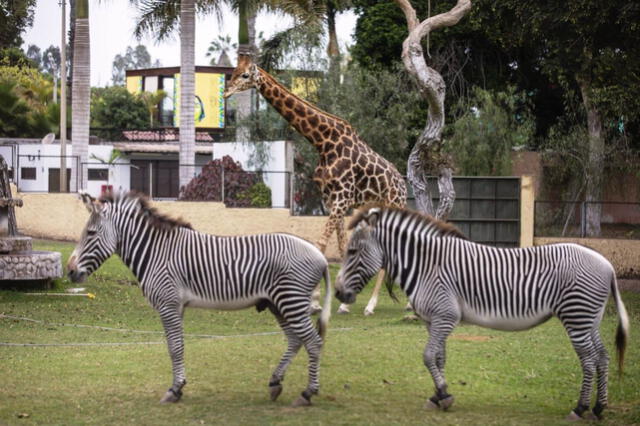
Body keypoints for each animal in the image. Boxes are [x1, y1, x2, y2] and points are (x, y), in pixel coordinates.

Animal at [67, 192, 332, 406]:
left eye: (90, 233)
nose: (69, 272)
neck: (156, 252)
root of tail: (321, 257)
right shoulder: (177, 306)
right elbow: (177, 345)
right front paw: (179, 386)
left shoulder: (168, 303)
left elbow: (175, 347)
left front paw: (175, 390)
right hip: (279, 303)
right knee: (295, 340)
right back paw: (276, 383)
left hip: (291, 301)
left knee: (313, 342)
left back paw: (307, 393)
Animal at [224, 55, 404, 314]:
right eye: (233, 71)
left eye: (245, 75)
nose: (226, 92)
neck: (323, 142)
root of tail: (403, 185)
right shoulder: (332, 199)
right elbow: (340, 246)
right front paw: (338, 301)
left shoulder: (342, 197)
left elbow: (320, 245)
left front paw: (316, 301)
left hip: (393, 206)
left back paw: (376, 306)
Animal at [336, 206, 632, 420]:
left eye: (352, 251)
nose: (338, 294)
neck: (426, 265)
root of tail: (607, 264)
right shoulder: (434, 320)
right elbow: (439, 357)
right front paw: (438, 396)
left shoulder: (445, 316)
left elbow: (428, 355)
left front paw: (443, 395)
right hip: (589, 319)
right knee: (603, 357)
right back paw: (599, 408)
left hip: (577, 317)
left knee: (589, 360)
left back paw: (580, 409)